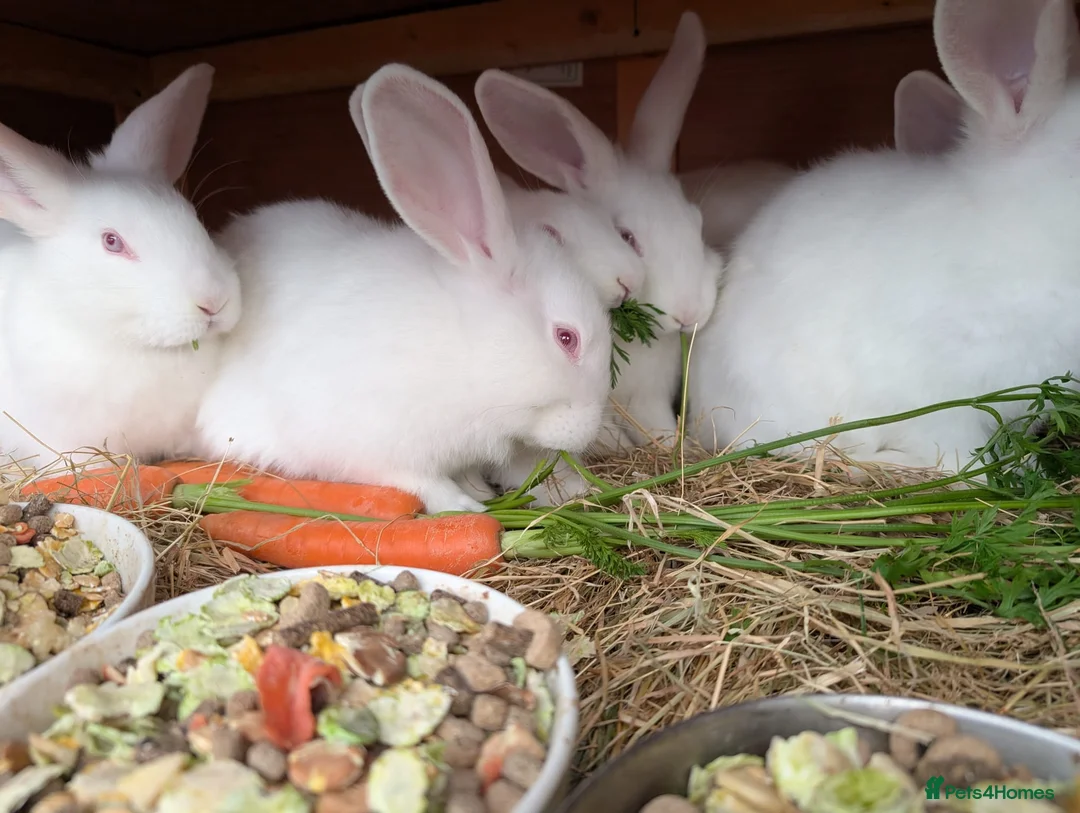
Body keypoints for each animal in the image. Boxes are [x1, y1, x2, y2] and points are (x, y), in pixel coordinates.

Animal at [194, 63, 614, 515]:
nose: (588, 430)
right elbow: (421, 482)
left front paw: (574, 490)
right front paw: (469, 509)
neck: (466, 345)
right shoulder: (370, 442)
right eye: (567, 338)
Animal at [474, 10, 723, 456]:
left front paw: (678, 448)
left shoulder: (649, 400)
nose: (689, 314)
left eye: (697, 223)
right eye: (627, 237)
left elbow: (658, 428)